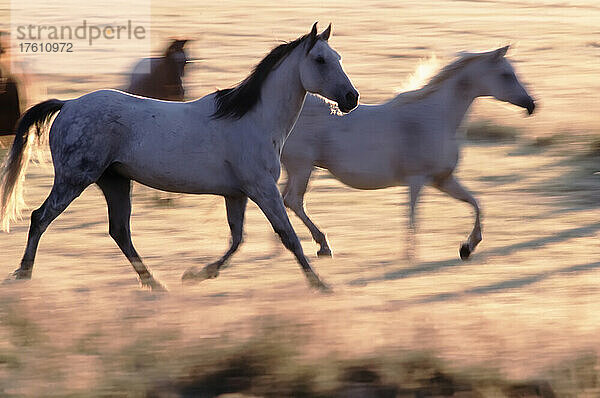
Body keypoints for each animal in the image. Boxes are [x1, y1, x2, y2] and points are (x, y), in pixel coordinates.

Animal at [0, 23, 356, 290]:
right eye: (321, 60)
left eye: (337, 56)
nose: (351, 98)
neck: (253, 120)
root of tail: (68, 104)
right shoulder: (261, 188)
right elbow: (288, 236)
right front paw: (321, 283)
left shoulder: (236, 193)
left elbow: (237, 239)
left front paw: (198, 274)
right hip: (75, 178)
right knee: (41, 217)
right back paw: (24, 274)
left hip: (114, 181)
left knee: (120, 231)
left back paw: (155, 283)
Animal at [282, 45, 536, 260]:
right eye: (507, 75)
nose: (531, 105)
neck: (434, 117)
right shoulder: (418, 179)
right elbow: (413, 217)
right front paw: (410, 256)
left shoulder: (443, 179)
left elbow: (476, 204)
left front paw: (467, 248)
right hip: (302, 168)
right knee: (293, 201)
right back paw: (322, 246)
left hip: (296, 170)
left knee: (283, 201)